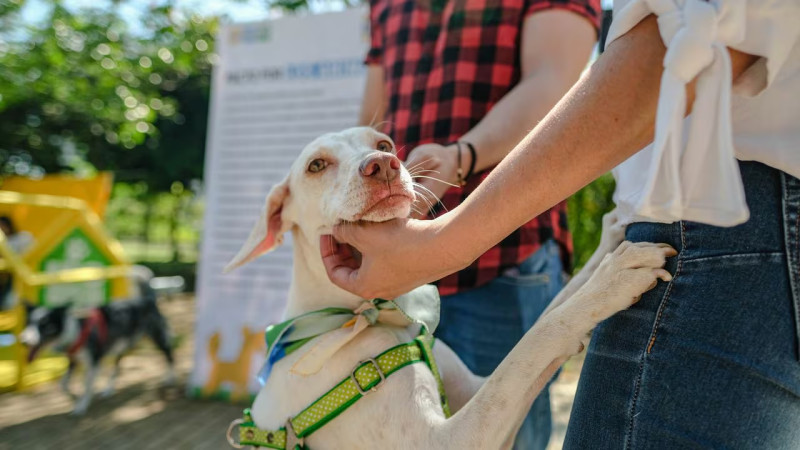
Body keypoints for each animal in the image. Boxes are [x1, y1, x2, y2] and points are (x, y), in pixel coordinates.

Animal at [20, 268, 176, 414]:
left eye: (44, 325)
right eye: (28, 323)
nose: (23, 341)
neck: (75, 328)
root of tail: (148, 300)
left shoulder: (93, 362)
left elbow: (86, 386)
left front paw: (81, 405)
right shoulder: (73, 360)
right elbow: (63, 384)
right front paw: (74, 396)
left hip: (157, 337)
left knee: (169, 354)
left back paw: (170, 378)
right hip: (120, 347)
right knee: (116, 369)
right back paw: (108, 389)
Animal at [222, 127, 672, 450]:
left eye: (384, 143)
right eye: (316, 165)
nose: (383, 165)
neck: (368, 315)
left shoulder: (473, 387)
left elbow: (536, 330)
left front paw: (610, 242)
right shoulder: (445, 441)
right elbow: (532, 345)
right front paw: (612, 281)